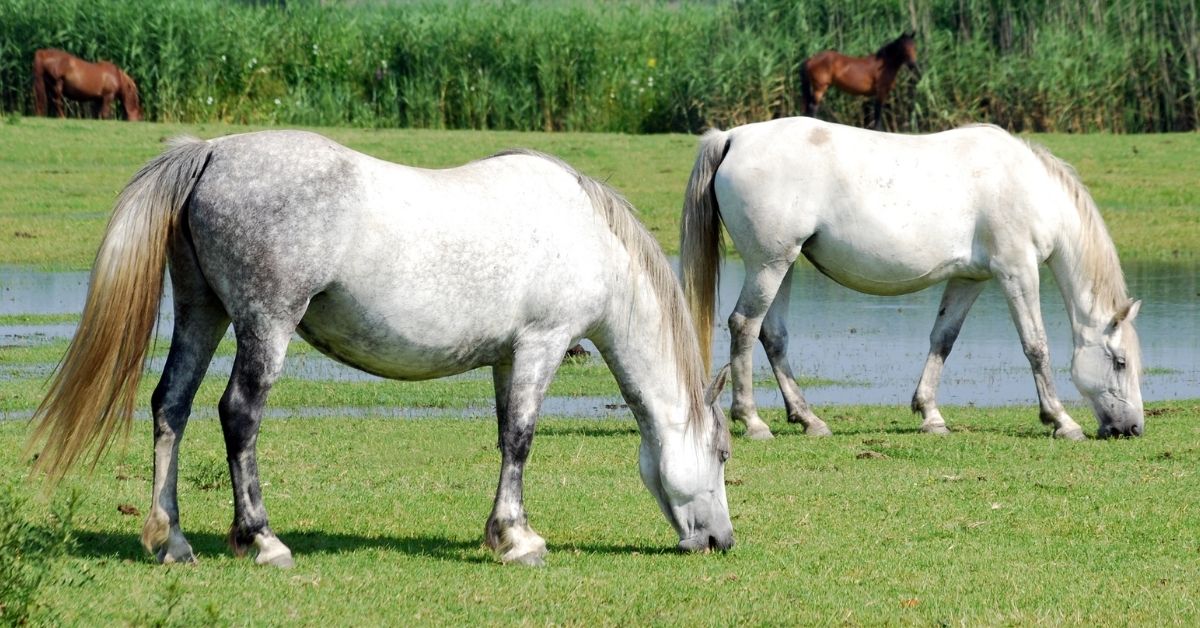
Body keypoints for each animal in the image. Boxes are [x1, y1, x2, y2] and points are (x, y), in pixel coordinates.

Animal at [28, 130, 734, 566]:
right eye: (723, 454)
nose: (722, 540)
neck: (587, 234)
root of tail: (210, 152)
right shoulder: (543, 343)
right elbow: (522, 439)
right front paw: (520, 539)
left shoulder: (509, 357)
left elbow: (506, 434)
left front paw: (498, 533)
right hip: (264, 325)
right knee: (238, 415)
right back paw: (263, 541)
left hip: (203, 313)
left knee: (170, 406)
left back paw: (172, 540)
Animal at [686, 117, 1142, 441]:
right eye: (1119, 362)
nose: (1134, 428)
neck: (1028, 186)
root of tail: (733, 137)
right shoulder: (1017, 271)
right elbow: (1036, 346)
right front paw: (1062, 420)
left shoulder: (969, 279)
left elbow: (943, 339)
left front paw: (930, 415)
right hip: (769, 264)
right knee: (745, 326)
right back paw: (753, 421)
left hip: (785, 263)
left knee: (773, 334)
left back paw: (809, 419)